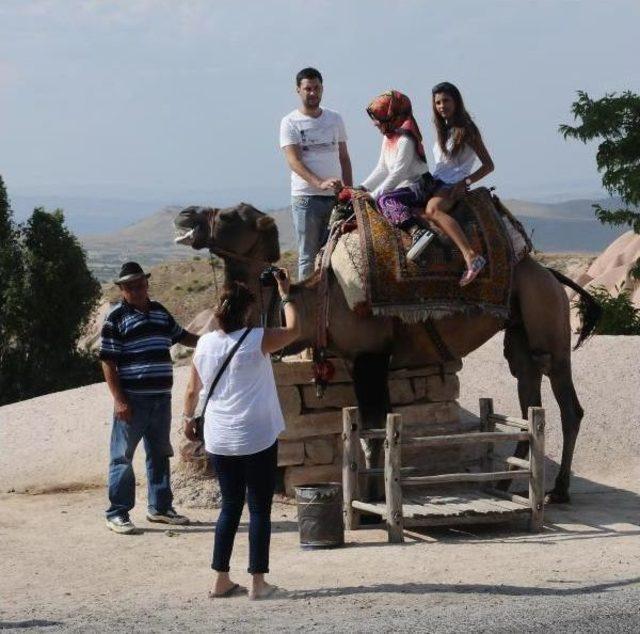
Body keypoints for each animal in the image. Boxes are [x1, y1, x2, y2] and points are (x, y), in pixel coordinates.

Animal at [174, 200, 600, 502]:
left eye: (229, 215)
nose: (184, 213)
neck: (316, 300)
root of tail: (551, 274)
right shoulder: (354, 360)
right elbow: (369, 427)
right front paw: (374, 493)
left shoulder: (370, 356)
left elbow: (374, 429)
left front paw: (374, 498)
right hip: (520, 334)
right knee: (529, 394)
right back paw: (508, 485)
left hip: (549, 321)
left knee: (568, 404)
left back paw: (559, 490)